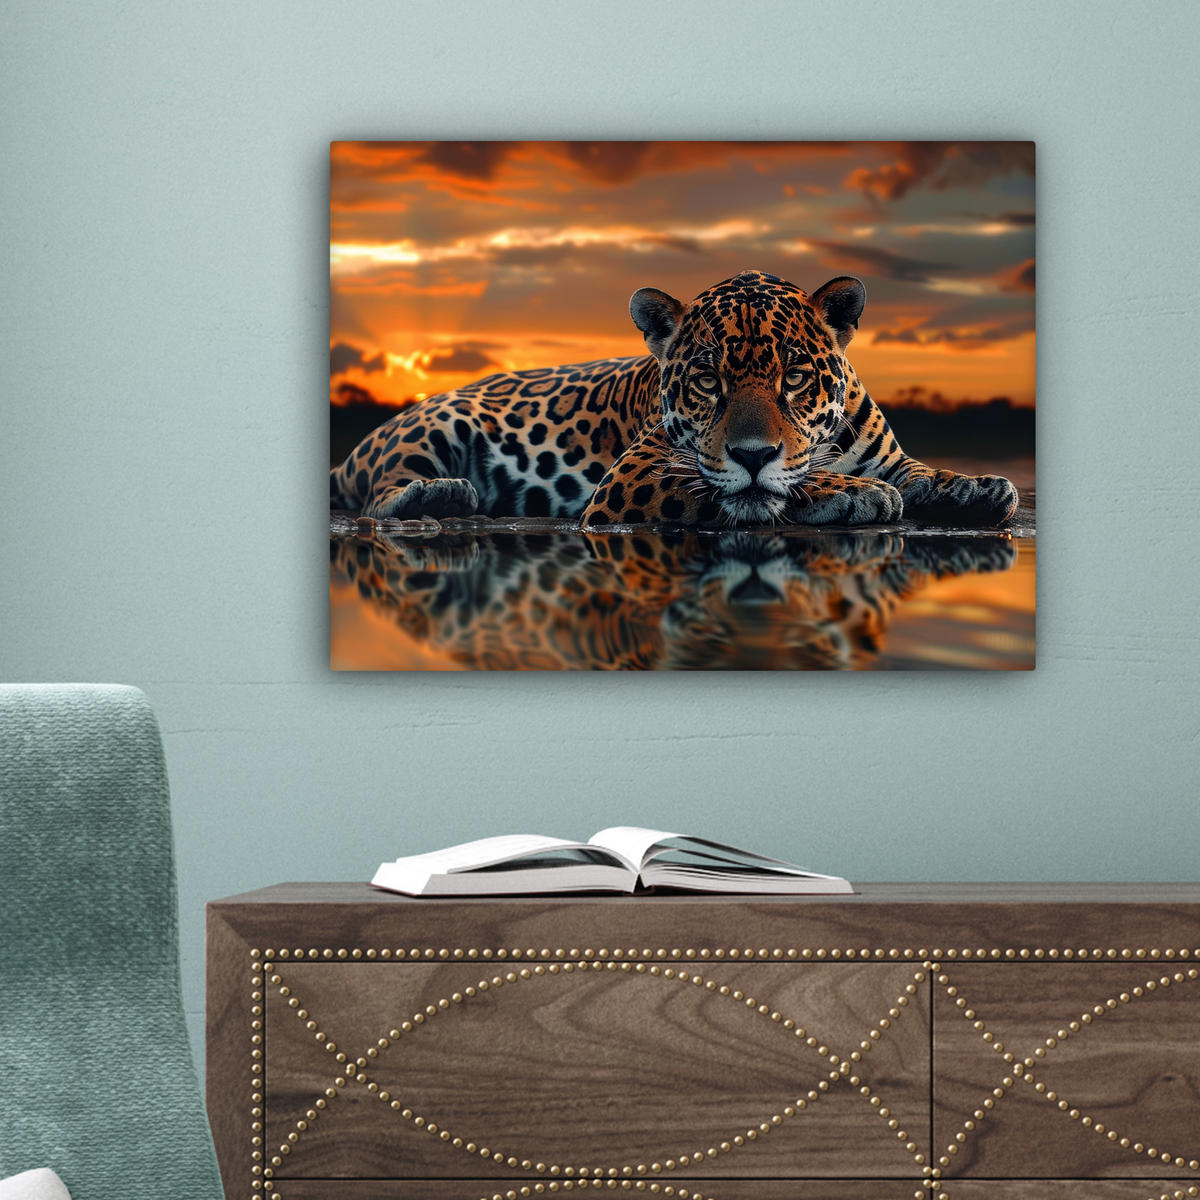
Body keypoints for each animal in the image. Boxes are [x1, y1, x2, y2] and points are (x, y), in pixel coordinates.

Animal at [329, 270, 1019, 529]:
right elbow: (758, 488)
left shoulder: (890, 457)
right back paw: (443, 494)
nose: (751, 453)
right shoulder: (634, 476)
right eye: (708, 381)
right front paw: (851, 493)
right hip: (433, 426)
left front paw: (979, 486)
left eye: (794, 377)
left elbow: (923, 472)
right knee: (378, 494)